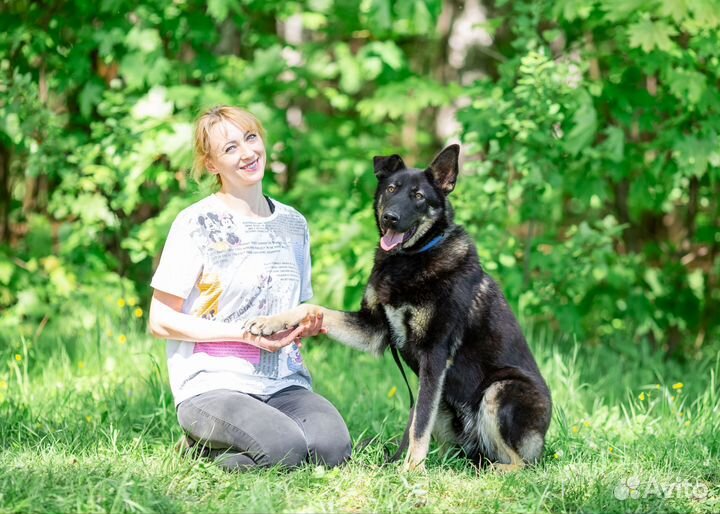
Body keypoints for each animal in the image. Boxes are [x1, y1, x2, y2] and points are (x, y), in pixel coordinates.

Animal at [245, 143, 556, 468]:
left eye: (418, 196)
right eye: (391, 189)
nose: (390, 218)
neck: (412, 257)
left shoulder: (434, 354)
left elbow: (419, 426)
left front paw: (411, 469)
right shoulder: (374, 329)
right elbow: (313, 309)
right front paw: (270, 322)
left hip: (499, 390)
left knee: (522, 463)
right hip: (448, 406)